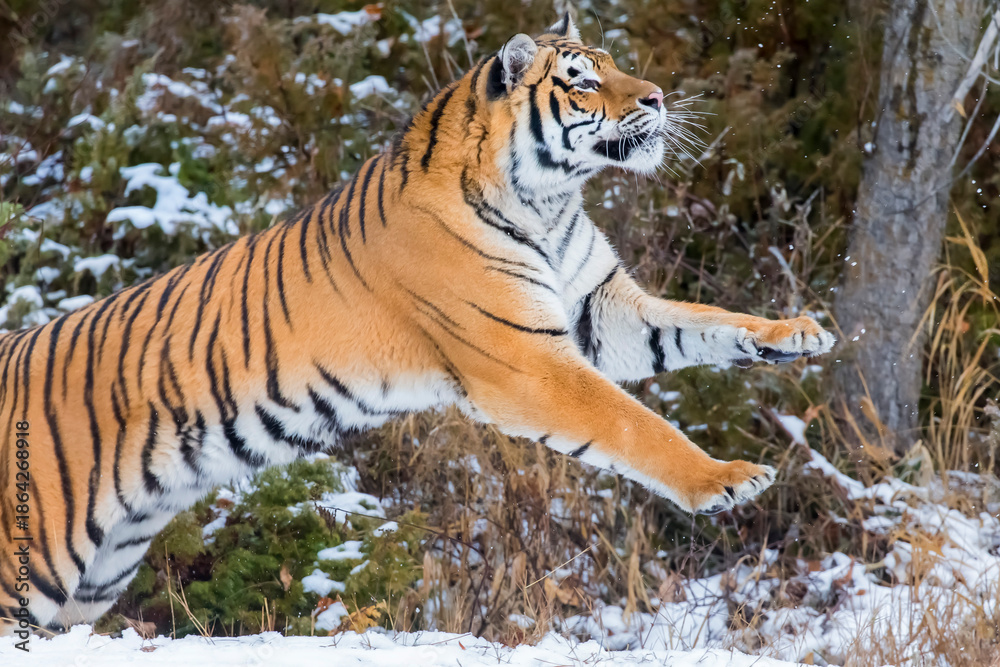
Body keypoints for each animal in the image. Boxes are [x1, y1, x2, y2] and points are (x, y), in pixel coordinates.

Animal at [0, 14, 835, 635]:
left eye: (616, 64)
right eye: (584, 80)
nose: (659, 98)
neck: (549, 200)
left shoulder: (601, 308)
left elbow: (705, 319)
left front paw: (795, 333)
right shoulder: (526, 362)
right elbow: (635, 424)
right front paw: (727, 479)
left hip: (95, 577)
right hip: (31, 562)